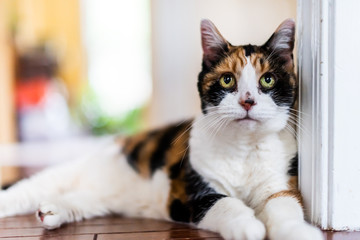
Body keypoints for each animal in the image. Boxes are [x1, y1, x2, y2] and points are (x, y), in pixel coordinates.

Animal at [0, 20, 324, 240]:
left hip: (99, 198)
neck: (244, 150)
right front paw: (248, 227)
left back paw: (51, 212)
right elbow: (227, 204)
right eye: (228, 80)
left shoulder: (281, 184)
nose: (248, 100)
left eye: (267, 80)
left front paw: (299, 231)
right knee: (26, 190)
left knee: (78, 199)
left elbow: (285, 206)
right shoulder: (190, 193)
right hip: (66, 173)